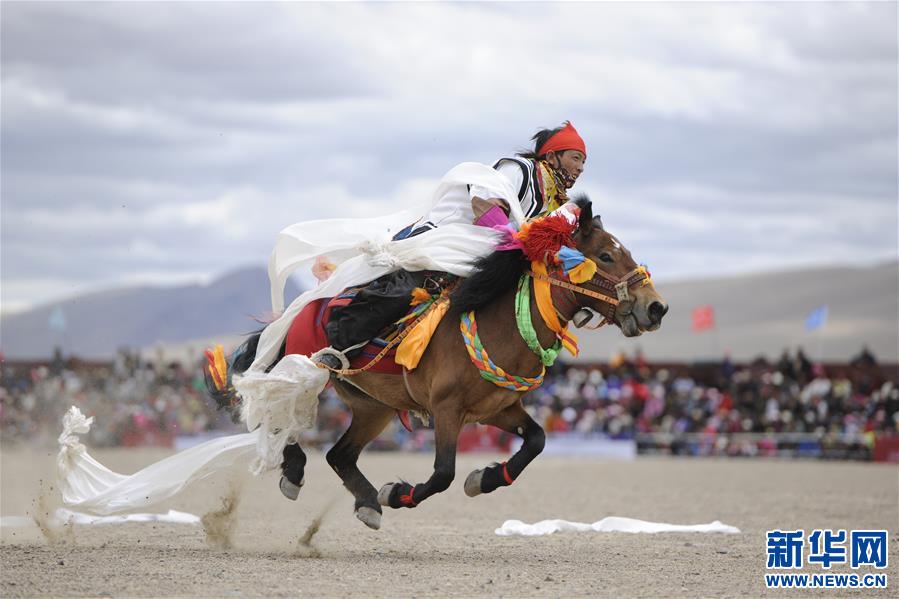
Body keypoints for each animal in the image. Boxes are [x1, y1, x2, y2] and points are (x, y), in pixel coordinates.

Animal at [218, 198, 668, 528]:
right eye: (606, 256)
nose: (655, 307)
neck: (500, 325)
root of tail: (305, 307)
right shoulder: (447, 409)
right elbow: (442, 473)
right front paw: (398, 493)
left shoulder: (496, 409)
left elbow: (537, 440)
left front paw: (485, 478)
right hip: (308, 373)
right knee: (280, 411)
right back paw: (297, 470)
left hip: (374, 407)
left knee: (339, 455)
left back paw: (366, 502)